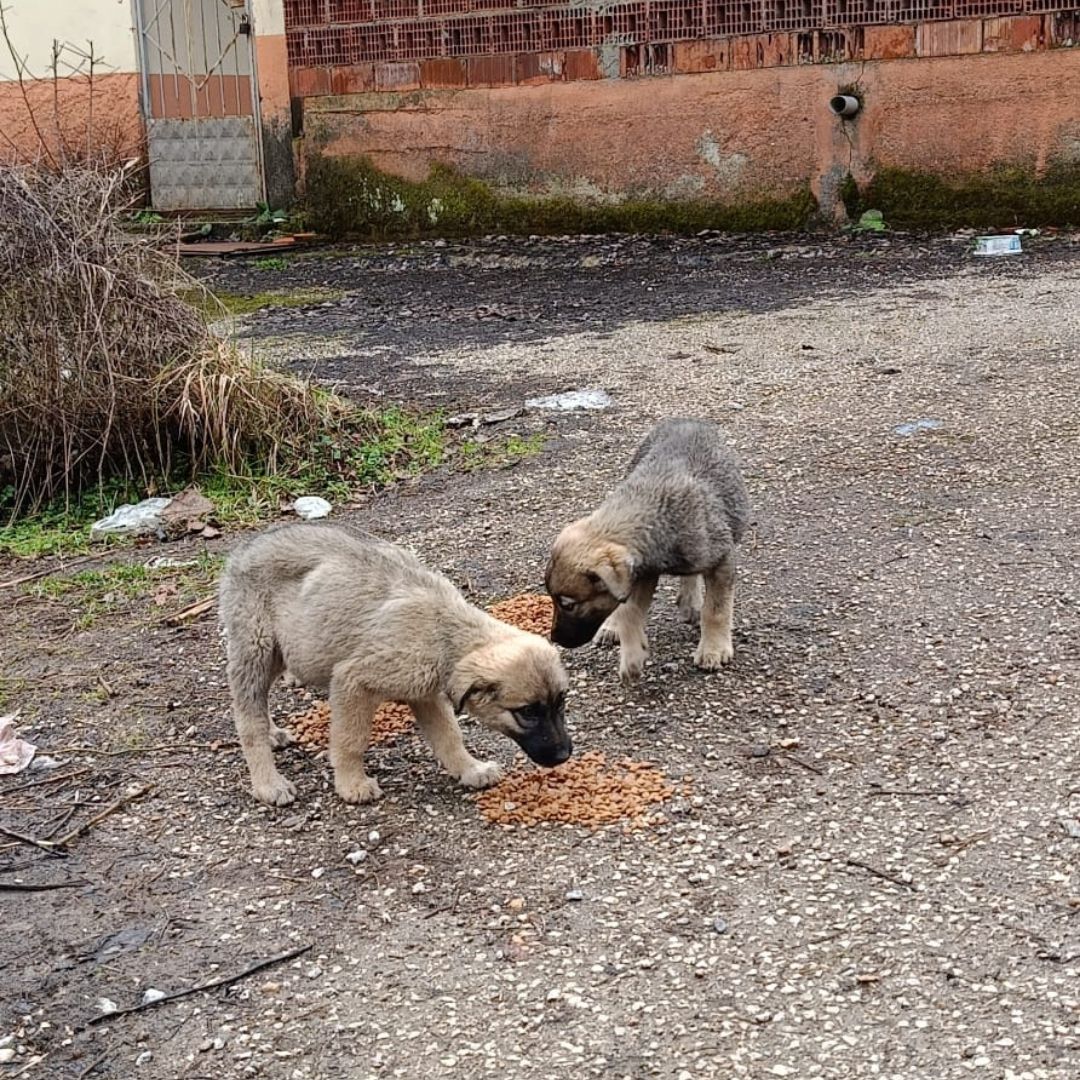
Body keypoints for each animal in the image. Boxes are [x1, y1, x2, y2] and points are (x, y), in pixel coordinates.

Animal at [220, 522, 574, 803]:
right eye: (527, 712)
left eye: (561, 703)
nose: (565, 756)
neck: (444, 631)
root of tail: (244, 548)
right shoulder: (352, 680)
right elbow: (350, 740)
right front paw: (352, 784)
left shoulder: (425, 694)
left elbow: (449, 736)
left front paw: (469, 768)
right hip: (255, 648)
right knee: (247, 718)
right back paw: (268, 783)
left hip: (288, 649)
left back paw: (272, 733)